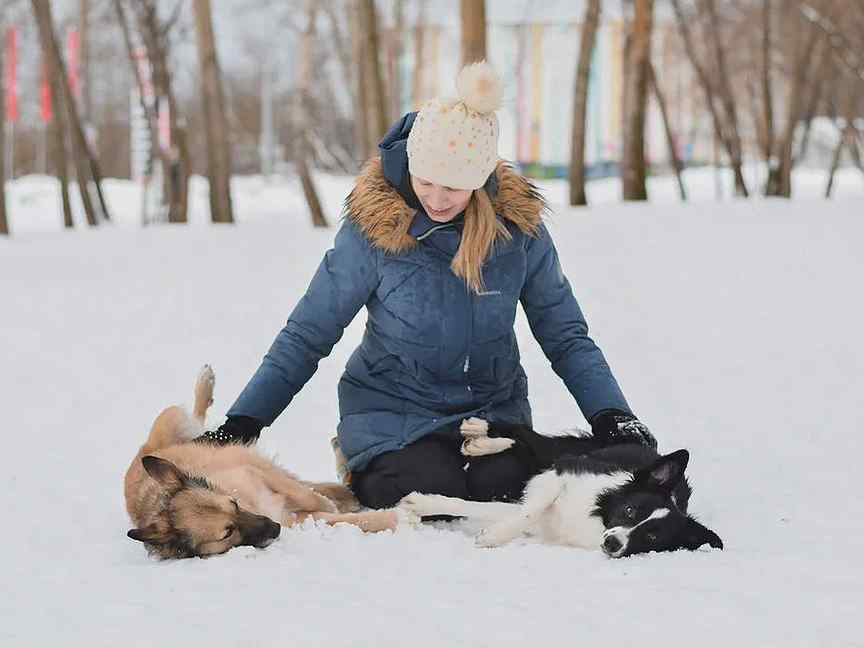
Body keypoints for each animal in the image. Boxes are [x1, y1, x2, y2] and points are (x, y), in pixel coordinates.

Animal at [125, 364, 408, 556]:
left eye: (233, 504)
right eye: (227, 532)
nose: (274, 527)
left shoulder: (255, 472)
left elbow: (307, 496)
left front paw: (332, 502)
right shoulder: (294, 518)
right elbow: (347, 520)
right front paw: (393, 519)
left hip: (173, 419)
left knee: (198, 416)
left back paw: (206, 382)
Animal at [400, 420, 724, 556]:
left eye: (653, 536)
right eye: (630, 510)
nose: (613, 544)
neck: (596, 520)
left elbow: (488, 508)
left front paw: (420, 504)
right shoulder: (562, 474)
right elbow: (528, 510)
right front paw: (493, 536)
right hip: (566, 454)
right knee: (530, 437)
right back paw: (481, 435)